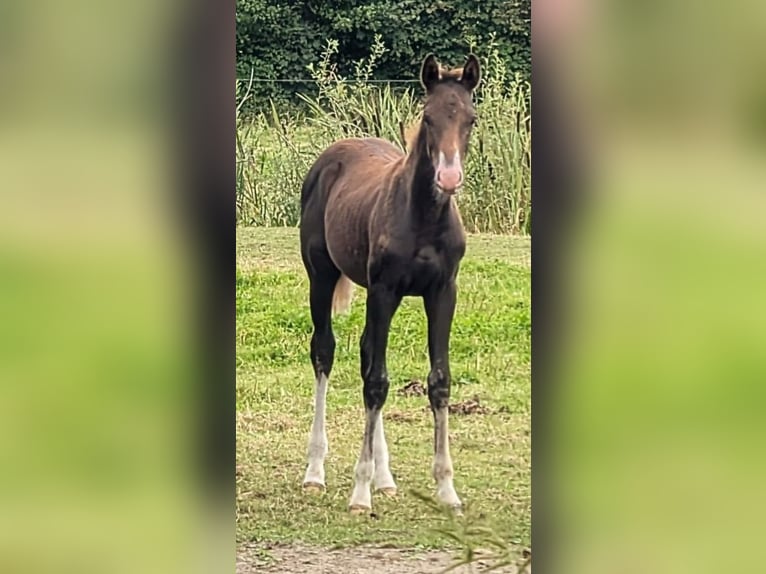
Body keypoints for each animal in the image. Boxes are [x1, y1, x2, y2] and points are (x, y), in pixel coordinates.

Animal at [298, 53, 481, 513]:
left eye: (470, 118)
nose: (448, 178)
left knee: (366, 352)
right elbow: (376, 382)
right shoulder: (384, 290)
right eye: (428, 117)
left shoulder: (442, 292)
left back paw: (385, 478)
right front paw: (359, 494)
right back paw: (316, 472)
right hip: (321, 275)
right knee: (324, 351)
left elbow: (438, 380)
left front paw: (446, 489)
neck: (424, 219)